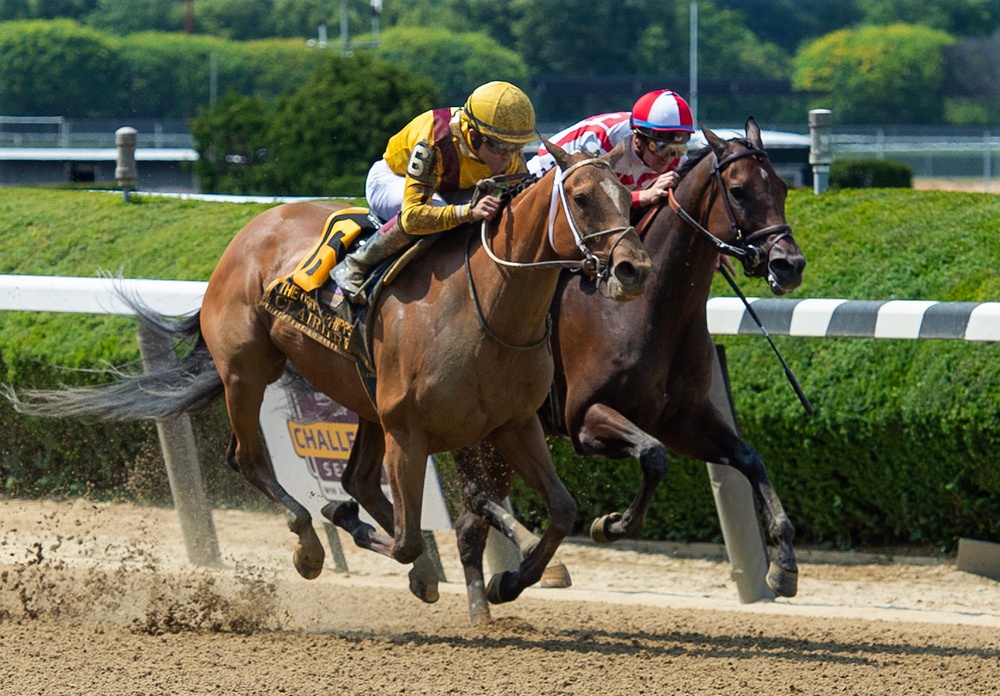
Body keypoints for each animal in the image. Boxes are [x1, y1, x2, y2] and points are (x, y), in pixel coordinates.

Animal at [7, 140, 652, 614]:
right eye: (583, 197)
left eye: (629, 195)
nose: (634, 269)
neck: (489, 306)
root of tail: (251, 230)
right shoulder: (410, 432)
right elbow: (406, 534)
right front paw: (348, 527)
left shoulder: (512, 425)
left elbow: (562, 509)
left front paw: (508, 582)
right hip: (248, 372)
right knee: (251, 460)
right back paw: (312, 546)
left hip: (361, 398)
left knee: (360, 481)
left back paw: (412, 566)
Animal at [451, 118, 806, 623]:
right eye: (738, 191)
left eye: (781, 187)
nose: (789, 264)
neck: (648, 311)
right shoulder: (586, 419)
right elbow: (654, 457)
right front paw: (610, 523)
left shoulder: (685, 421)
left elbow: (750, 458)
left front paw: (785, 565)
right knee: (475, 504)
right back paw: (518, 576)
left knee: (470, 519)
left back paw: (483, 605)